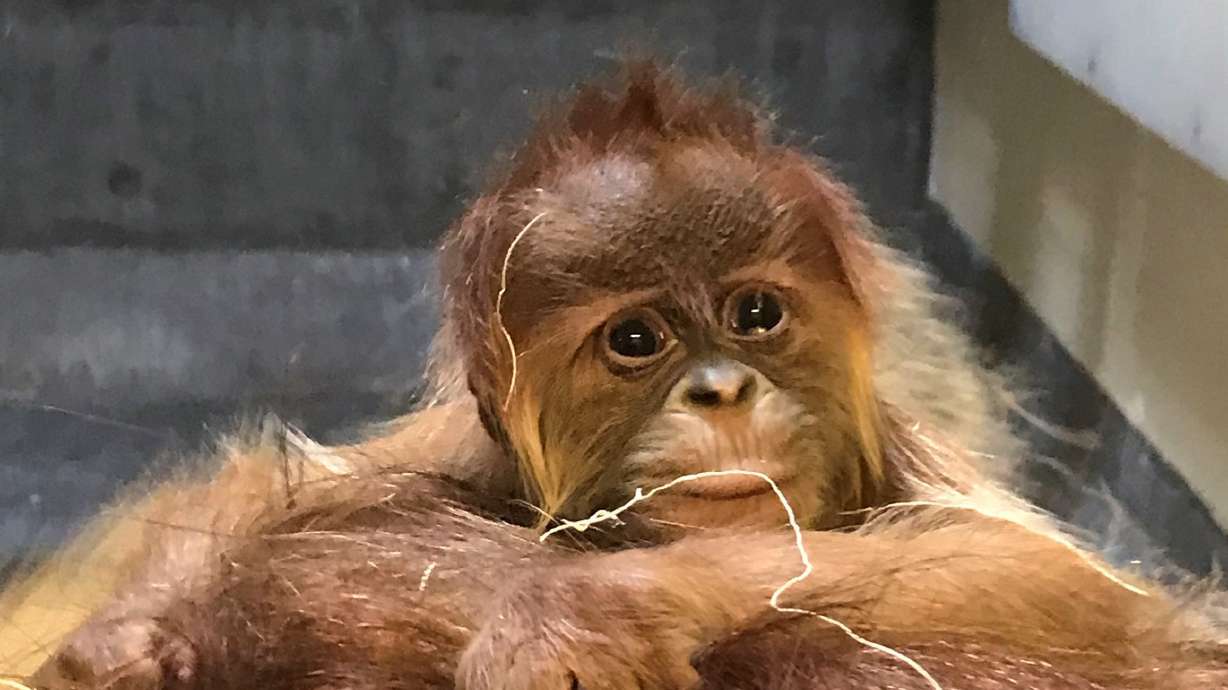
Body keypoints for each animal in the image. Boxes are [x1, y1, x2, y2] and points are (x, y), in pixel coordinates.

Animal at [5, 61, 1226, 689]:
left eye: (754, 314)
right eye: (636, 340)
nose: (721, 390)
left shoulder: (905, 444)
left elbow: (1033, 572)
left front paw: (580, 613)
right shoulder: (464, 438)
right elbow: (282, 482)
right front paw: (128, 643)